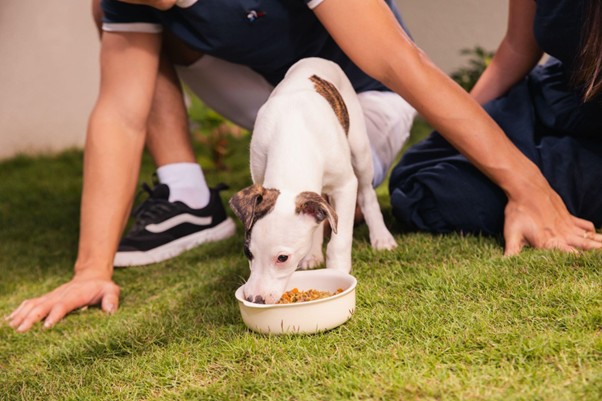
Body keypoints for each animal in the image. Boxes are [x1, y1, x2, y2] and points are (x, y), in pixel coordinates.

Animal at [227, 57, 396, 304]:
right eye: (247, 252)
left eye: (283, 258)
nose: (254, 299)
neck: (292, 140)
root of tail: (316, 59)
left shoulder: (345, 186)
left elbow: (340, 240)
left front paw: (337, 271)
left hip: (360, 149)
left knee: (367, 193)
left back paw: (381, 238)